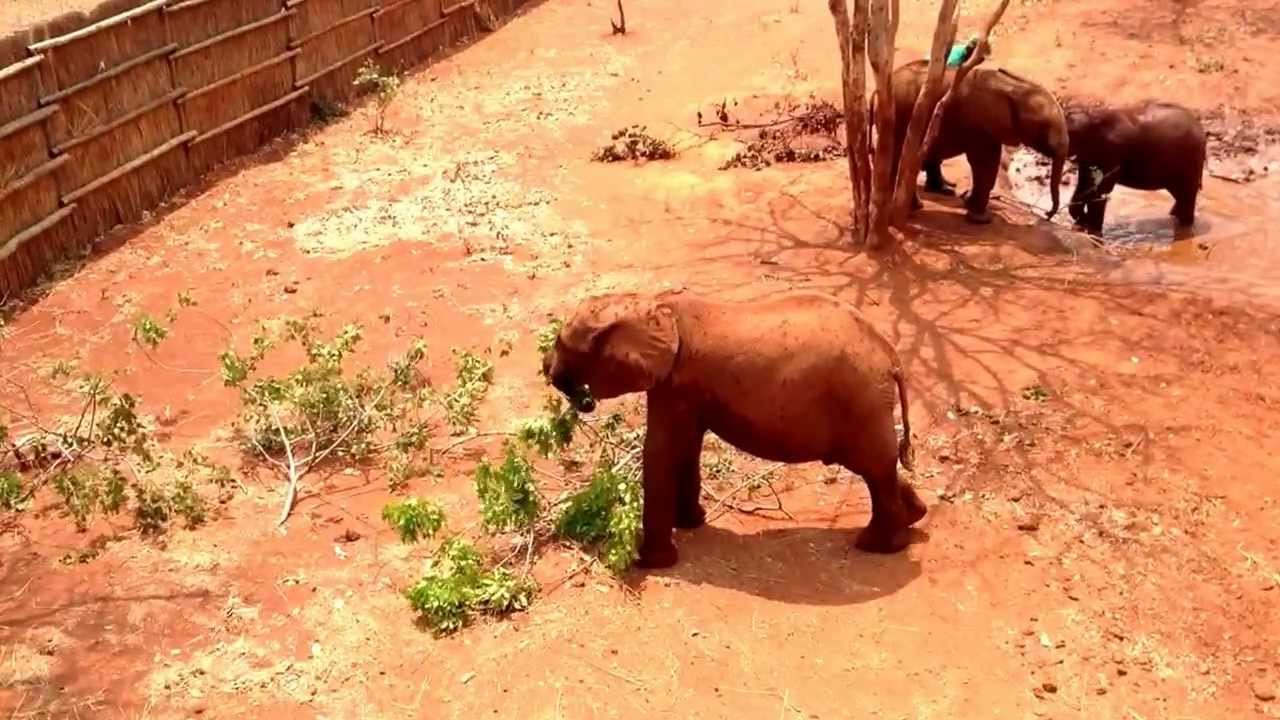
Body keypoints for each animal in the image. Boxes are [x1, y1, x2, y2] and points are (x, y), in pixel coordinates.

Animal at [541, 289, 926, 569]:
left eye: (559, 342)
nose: (581, 399)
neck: (652, 304)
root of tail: (892, 357)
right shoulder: (686, 389)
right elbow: (687, 447)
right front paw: (691, 524)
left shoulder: (676, 384)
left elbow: (662, 452)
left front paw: (649, 563)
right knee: (879, 467)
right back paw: (913, 518)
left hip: (861, 402)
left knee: (874, 469)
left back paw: (876, 546)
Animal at [881, 59, 1068, 224]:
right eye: (1045, 126)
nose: (1048, 214)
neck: (1012, 87)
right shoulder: (981, 123)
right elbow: (986, 164)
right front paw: (983, 220)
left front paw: (967, 201)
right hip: (902, 116)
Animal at [1064, 100, 1207, 235]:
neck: (1091, 117)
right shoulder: (1088, 157)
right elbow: (1084, 185)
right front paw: (1082, 222)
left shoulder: (1111, 153)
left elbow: (1101, 191)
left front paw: (1093, 231)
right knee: (1180, 196)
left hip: (1189, 162)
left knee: (1186, 195)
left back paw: (1184, 227)